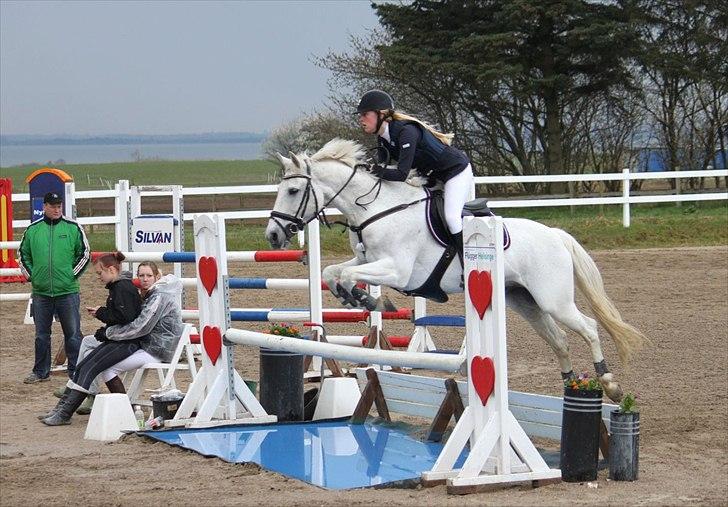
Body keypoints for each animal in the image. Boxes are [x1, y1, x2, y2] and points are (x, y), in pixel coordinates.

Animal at [268, 138, 648, 400]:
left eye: (293, 190)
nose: (272, 235)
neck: (377, 208)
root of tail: (555, 235)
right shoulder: (367, 260)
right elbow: (332, 272)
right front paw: (356, 298)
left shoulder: (397, 271)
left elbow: (347, 275)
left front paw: (370, 301)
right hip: (524, 301)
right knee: (560, 339)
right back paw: (571, 384)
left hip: (554, 300)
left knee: (589, 327)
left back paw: (609, 384)